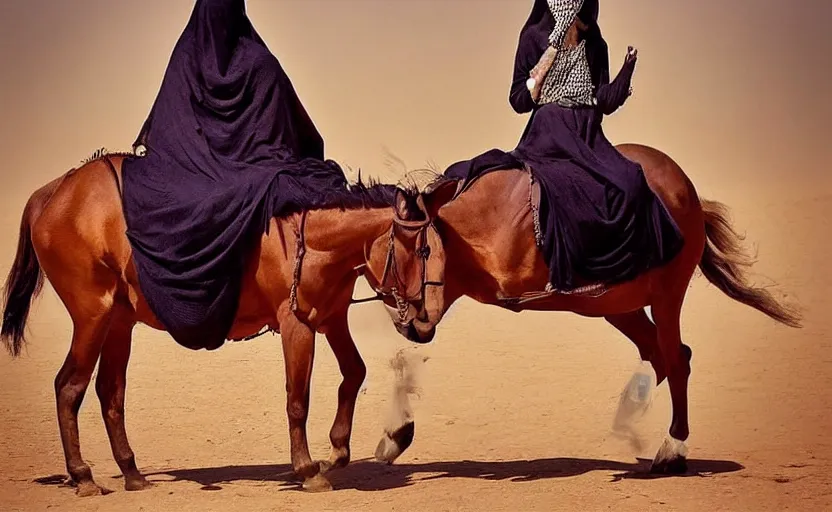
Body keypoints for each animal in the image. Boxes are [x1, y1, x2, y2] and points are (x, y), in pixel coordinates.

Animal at [0, 153, 428, 496]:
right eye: (422, 249)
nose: (422, 324)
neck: (310, 236)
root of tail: (54, 193)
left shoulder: (330, 317)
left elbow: (354, 373)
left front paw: (341, 452)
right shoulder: (296, 324)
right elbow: (297, 399)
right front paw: (309, 469)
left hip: (119, 321)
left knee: (110, 391)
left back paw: (133, 473)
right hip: (92, 315)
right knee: (69, 386)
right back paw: (84, 476)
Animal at [366, 142, 808, 474]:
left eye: (415, 249)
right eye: (390, 249)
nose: (405, 315)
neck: (490, 215)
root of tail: (687, 189)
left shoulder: (487, 294)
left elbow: (413, 348)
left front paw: (396, 432)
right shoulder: (459, 295)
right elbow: (406, 353)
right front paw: (394, 437)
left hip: (664, 297)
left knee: (676, 359)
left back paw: (672, 450)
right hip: (618, 305)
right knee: (661, 355)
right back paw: (631, 420)